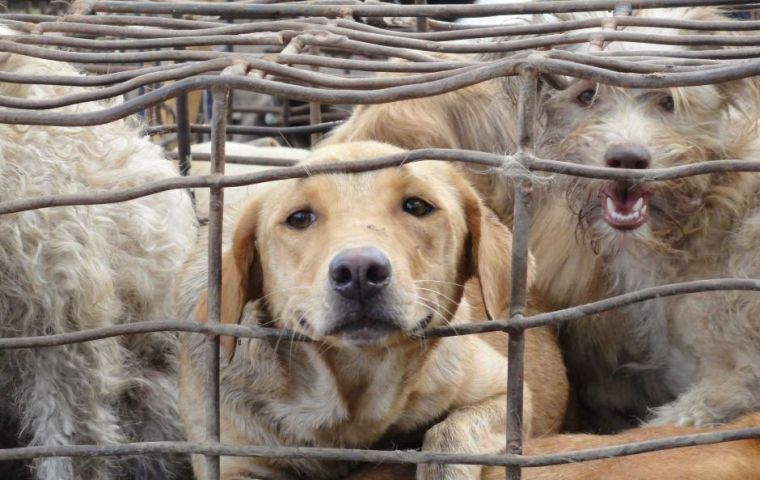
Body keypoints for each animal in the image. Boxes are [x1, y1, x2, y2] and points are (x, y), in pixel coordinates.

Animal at [180, 142, 568, 480]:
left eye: (417, 206)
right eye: (300, 217)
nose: (359, 272)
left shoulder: (506, 393)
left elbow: (449, 434)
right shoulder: (234, 460)